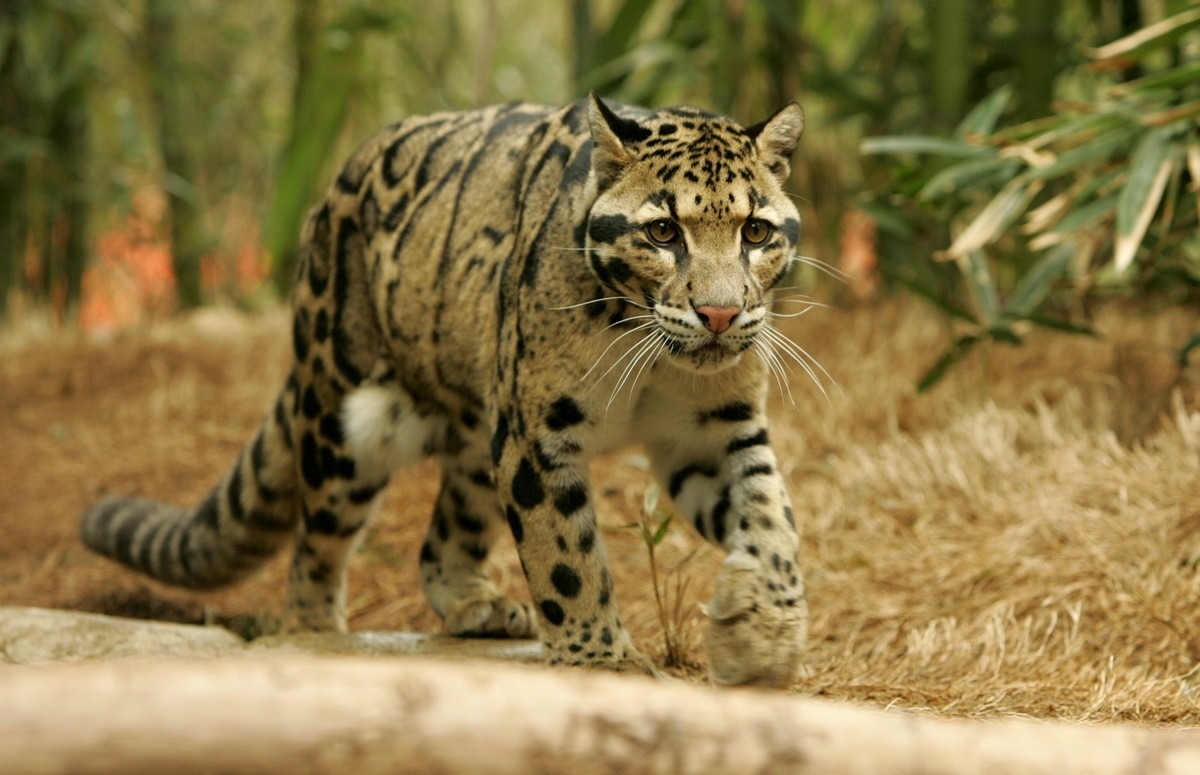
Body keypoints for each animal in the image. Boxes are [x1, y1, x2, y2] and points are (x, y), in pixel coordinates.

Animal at [80, 94, 810, 687]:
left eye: (755, 231)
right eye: (663, 231)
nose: (720, 314)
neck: (654, 355)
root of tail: (330, 195)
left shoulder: (715, 430)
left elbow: (773, 519)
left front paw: (764, 633)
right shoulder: (536, 433)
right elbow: (566, 556)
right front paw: (604, 662)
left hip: (474, 433)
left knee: (443, 535)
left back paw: (476, 604)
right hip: (343, 420)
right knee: (315, 546)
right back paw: (315, 633)